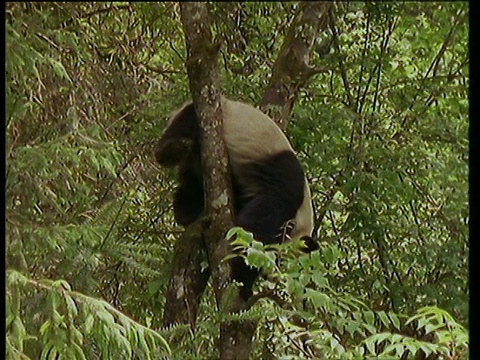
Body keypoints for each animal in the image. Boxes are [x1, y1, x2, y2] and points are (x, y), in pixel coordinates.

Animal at [156, 97, 316, 300]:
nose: (272, 273)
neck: (302, 209)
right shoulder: (283, 192)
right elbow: (252, 231)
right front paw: (244, 282)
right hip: (205, 114)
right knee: (183, 129)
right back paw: (173, 148)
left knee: (192, 185)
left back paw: (186, 210)